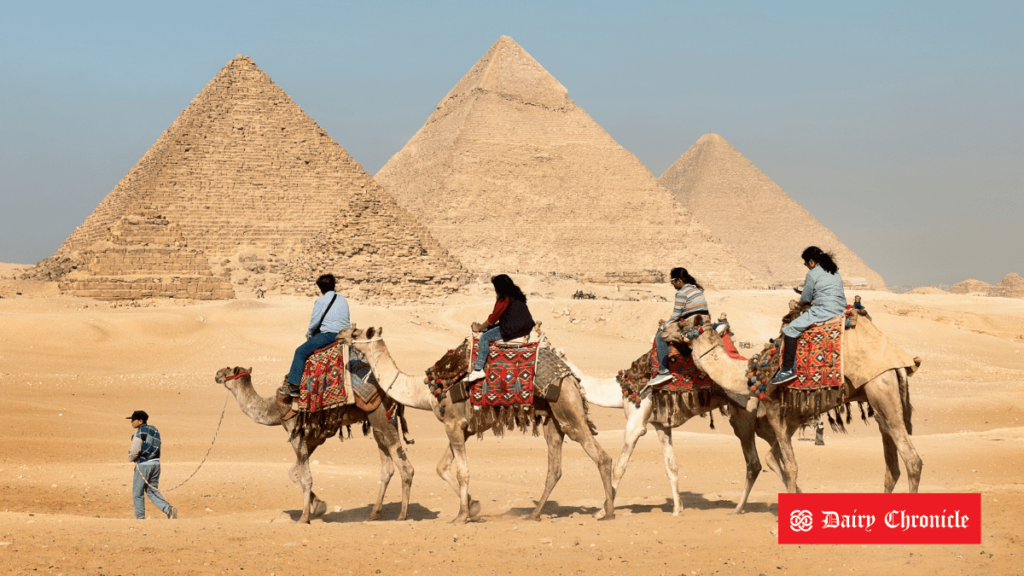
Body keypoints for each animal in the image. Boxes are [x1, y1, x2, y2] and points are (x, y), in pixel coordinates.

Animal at [214, 364, 413, 522]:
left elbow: (306, 477)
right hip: (377, 424)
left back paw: (402, 515)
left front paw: (304, 517)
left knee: (405, 467)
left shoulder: (296, 433)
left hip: (381, 416)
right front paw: (318, 506)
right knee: (387, 468)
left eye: (228, 369)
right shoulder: (314, 438)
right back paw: (374, 513)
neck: (273, 409)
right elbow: (294, 473)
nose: (216, 374)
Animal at [344, 327, 614, 520]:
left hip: (568, 409)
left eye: (357, 333)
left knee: (600, 456)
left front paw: (462, 516)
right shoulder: (462, 428)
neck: (425, 390)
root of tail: (571, 375)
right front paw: (472, 507)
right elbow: (442, 468)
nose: (342, 334)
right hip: (552, 418)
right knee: (554, 467)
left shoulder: (453, 424)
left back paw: (608, 512)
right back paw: (535, 514)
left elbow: (462, 471)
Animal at [659, 313, 925, 494]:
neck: (751, 375)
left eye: (681, 324)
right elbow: (774, 458)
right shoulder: (793, 416)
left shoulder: (774, 407)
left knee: (912, 460)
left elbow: (790, 465)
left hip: (881, 388)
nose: (662, 329)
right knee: (892, 466)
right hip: (878, 399)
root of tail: (901, 362)